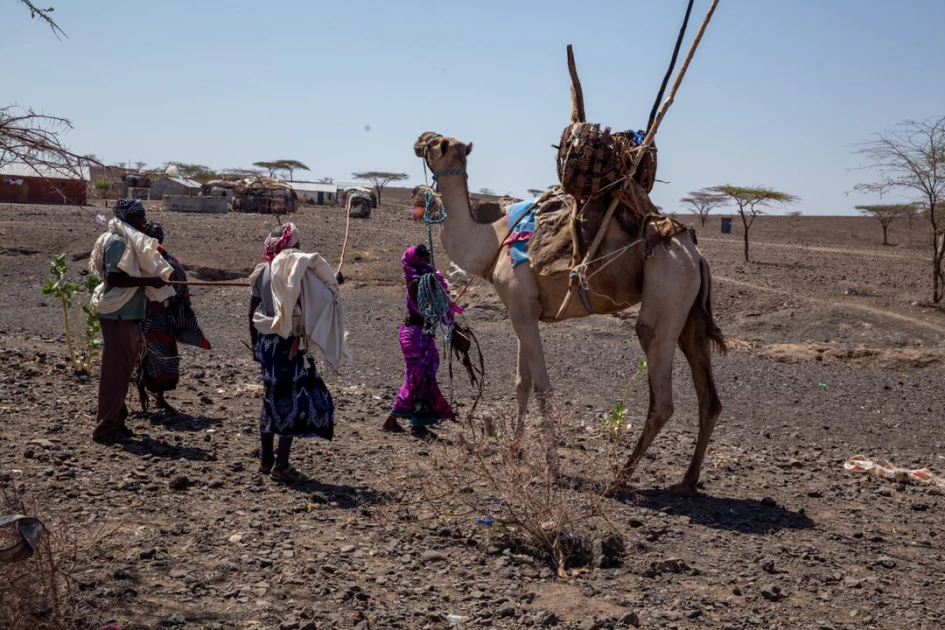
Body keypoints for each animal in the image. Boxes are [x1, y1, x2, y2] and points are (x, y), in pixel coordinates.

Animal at [410, 131, 728, 496]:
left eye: (439, 144)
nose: (419, 140)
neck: (492, 241)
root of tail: (697, 256)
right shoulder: (522, 310)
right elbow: (522, 383)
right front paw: (514, 449)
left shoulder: (521, 308)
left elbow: (543, 388)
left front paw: (553, 467)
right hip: (691, 314)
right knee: (709, 397)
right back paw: (687, 480)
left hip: (667, 292)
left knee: (660, 393)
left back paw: (621, 477)